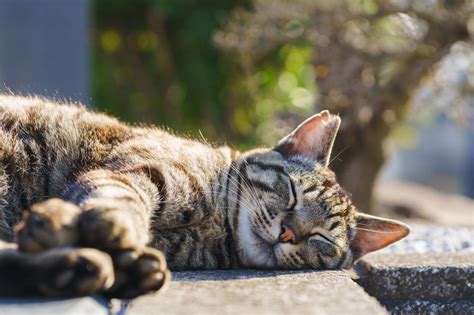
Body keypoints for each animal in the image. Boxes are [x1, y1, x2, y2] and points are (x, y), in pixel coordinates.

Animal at [0, 94, 408, 298]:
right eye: (292, 193)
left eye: (321, 237)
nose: (288, 232)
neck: (214, 227)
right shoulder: (136, 171)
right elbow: (119, 199)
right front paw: (99, 225)